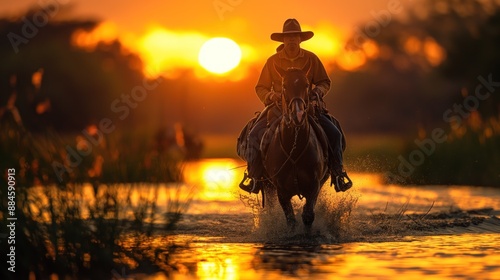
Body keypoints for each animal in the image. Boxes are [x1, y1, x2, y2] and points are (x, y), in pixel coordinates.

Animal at [260, 61, 330, 234]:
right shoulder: (281, 191)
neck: (295, 147)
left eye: (306, 84)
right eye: (284, 85)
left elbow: (308, 216)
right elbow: (291, 220)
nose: (297, 115)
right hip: (268, 186)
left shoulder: (314, 186)